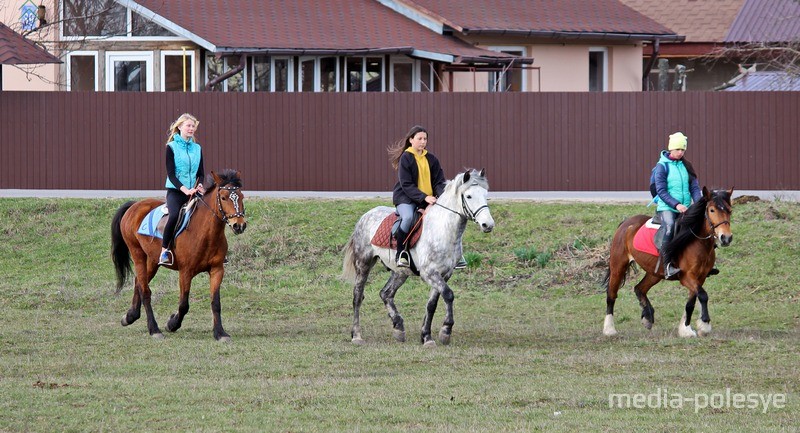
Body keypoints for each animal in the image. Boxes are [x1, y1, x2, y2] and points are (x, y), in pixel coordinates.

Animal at [110, 169, 247, 340]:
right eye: (223, 197)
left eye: (241, 196)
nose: (239, 225)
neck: (205, 234)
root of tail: (134, 205)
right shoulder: (185, 272)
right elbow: (184, 304)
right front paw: (172, 324)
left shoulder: (217, 270)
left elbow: (215, 302)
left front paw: (220, 333)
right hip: (138, 254)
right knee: (145, 291)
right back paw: (154, 329)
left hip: (152, 260)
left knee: (138, 283)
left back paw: (130, 316)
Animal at [340, 167, 494, 346]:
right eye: (468, 196)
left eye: (485, 194)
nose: (488, 225)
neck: (442, 230)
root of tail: (365, 216)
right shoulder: (429, 273)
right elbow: (448, 295)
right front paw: (445, 330)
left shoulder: (444, 274)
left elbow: (432, 304)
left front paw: (426, 336)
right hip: (363, 264)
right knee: (358, 297)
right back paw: (357, 336)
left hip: (400, 272)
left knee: (386, 294)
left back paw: (398, 327)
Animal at [608, 186, 732, 338]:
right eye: (712, 210)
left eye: (729, 210)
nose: (726, 238)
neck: (697, 242)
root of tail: (626, 223)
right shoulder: (686, 277)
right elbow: (703, 295)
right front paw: (705, 324)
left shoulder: (700, 277)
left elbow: (691, 303)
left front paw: (686, 329)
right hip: (618, 266)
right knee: (611, 295)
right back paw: (609, 329)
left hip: (654, 273)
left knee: (639, 288)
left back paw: (647, 317)